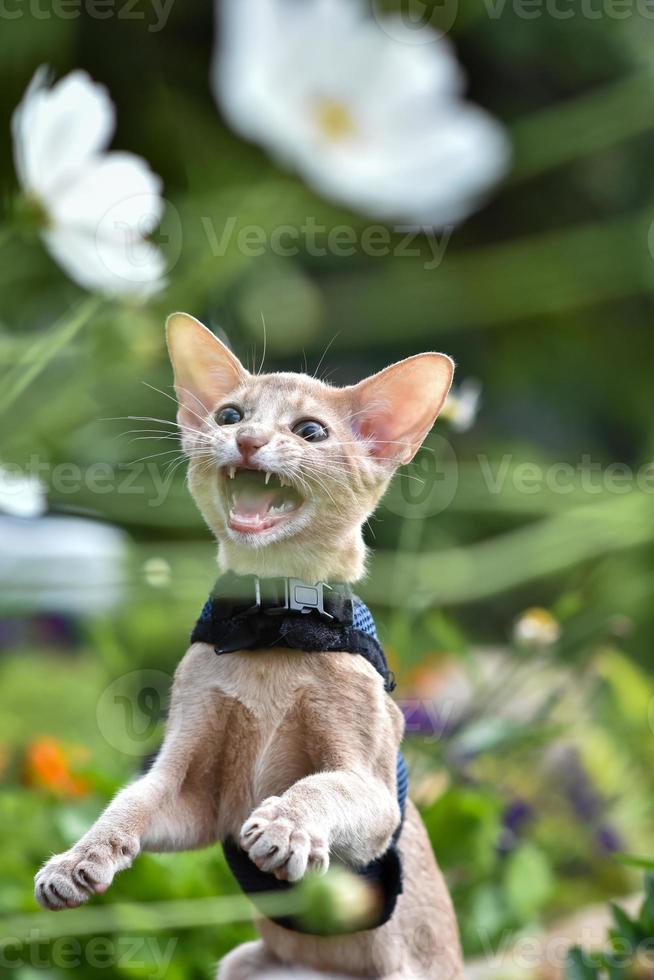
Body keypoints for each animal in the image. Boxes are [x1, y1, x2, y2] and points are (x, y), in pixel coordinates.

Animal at [34, 314, 466, 980]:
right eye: (230, 415)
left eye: (310, 430)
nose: (247, 440)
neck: (272, 629)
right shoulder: (193, 795)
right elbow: (127, 803)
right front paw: (77, 859)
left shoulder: (373, 795)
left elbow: (323, 786)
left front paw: (285, 828)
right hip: (241, 961)